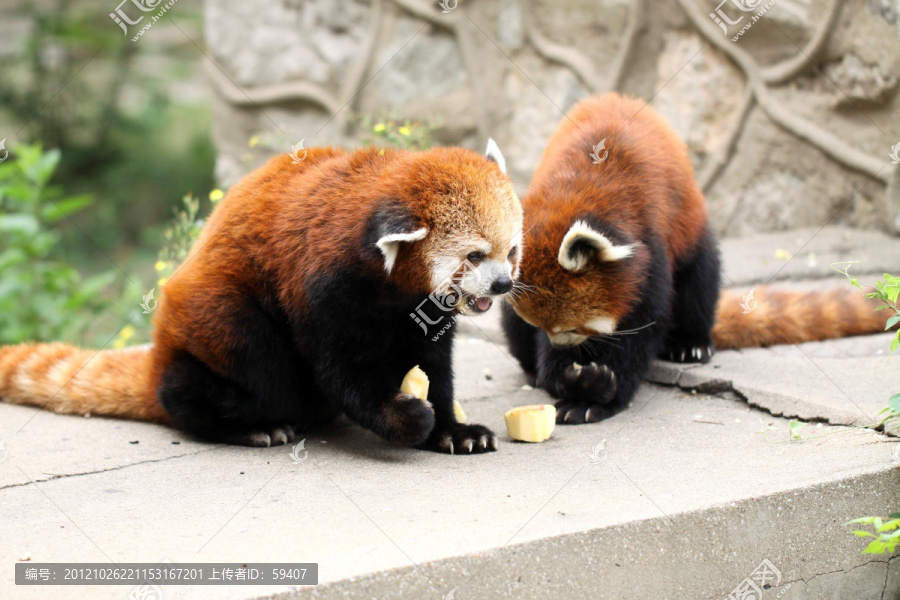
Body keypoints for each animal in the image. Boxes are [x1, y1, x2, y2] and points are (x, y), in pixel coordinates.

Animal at [0, 141, 524, 454]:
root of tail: (159, 357)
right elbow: (342, 373)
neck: (391, 288)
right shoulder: (325, 288)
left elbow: (436, 365)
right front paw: (408, 417)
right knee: (245, 365)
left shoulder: (419, 311)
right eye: (474, 256)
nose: (502, 285)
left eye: (511, 251)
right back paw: (252, 426)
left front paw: (453, 430)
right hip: (222, 319)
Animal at [502, 92, 888, 422]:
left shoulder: (650, 246)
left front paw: (595, 397)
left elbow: (641, 329)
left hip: (692, 231)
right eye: (543, 328)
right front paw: (568, 378)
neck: (576, 192)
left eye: (572, 327)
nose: (564, 347)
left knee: (700, 279)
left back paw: (691, 344)